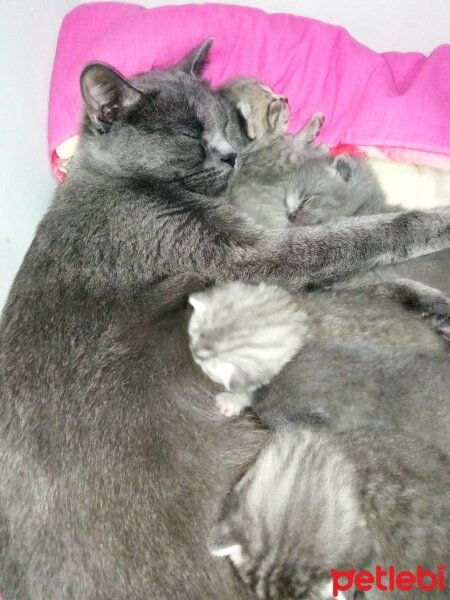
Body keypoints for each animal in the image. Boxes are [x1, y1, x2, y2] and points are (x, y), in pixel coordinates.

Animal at [2, 38, 450, 600]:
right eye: (190, 134)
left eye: (228, 122)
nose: (234, 153)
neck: (121, 181)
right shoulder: (247, 255)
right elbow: (354, 238)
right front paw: (438, 222)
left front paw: (431, 302)